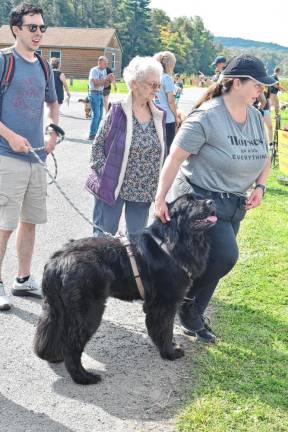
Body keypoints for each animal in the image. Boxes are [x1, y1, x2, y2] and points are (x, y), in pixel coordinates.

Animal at [34, 194, 216, 384]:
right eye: (189, 203)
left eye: (201, 198)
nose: (212, 202)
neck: (172, 240)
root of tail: (57, 261)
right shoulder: (165, 303)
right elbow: (165, 330)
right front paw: (170, 352)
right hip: (88, 312)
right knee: (72, 345)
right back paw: (84, 377)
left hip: (57, 308)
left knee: (48, 331)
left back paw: (54, 356)